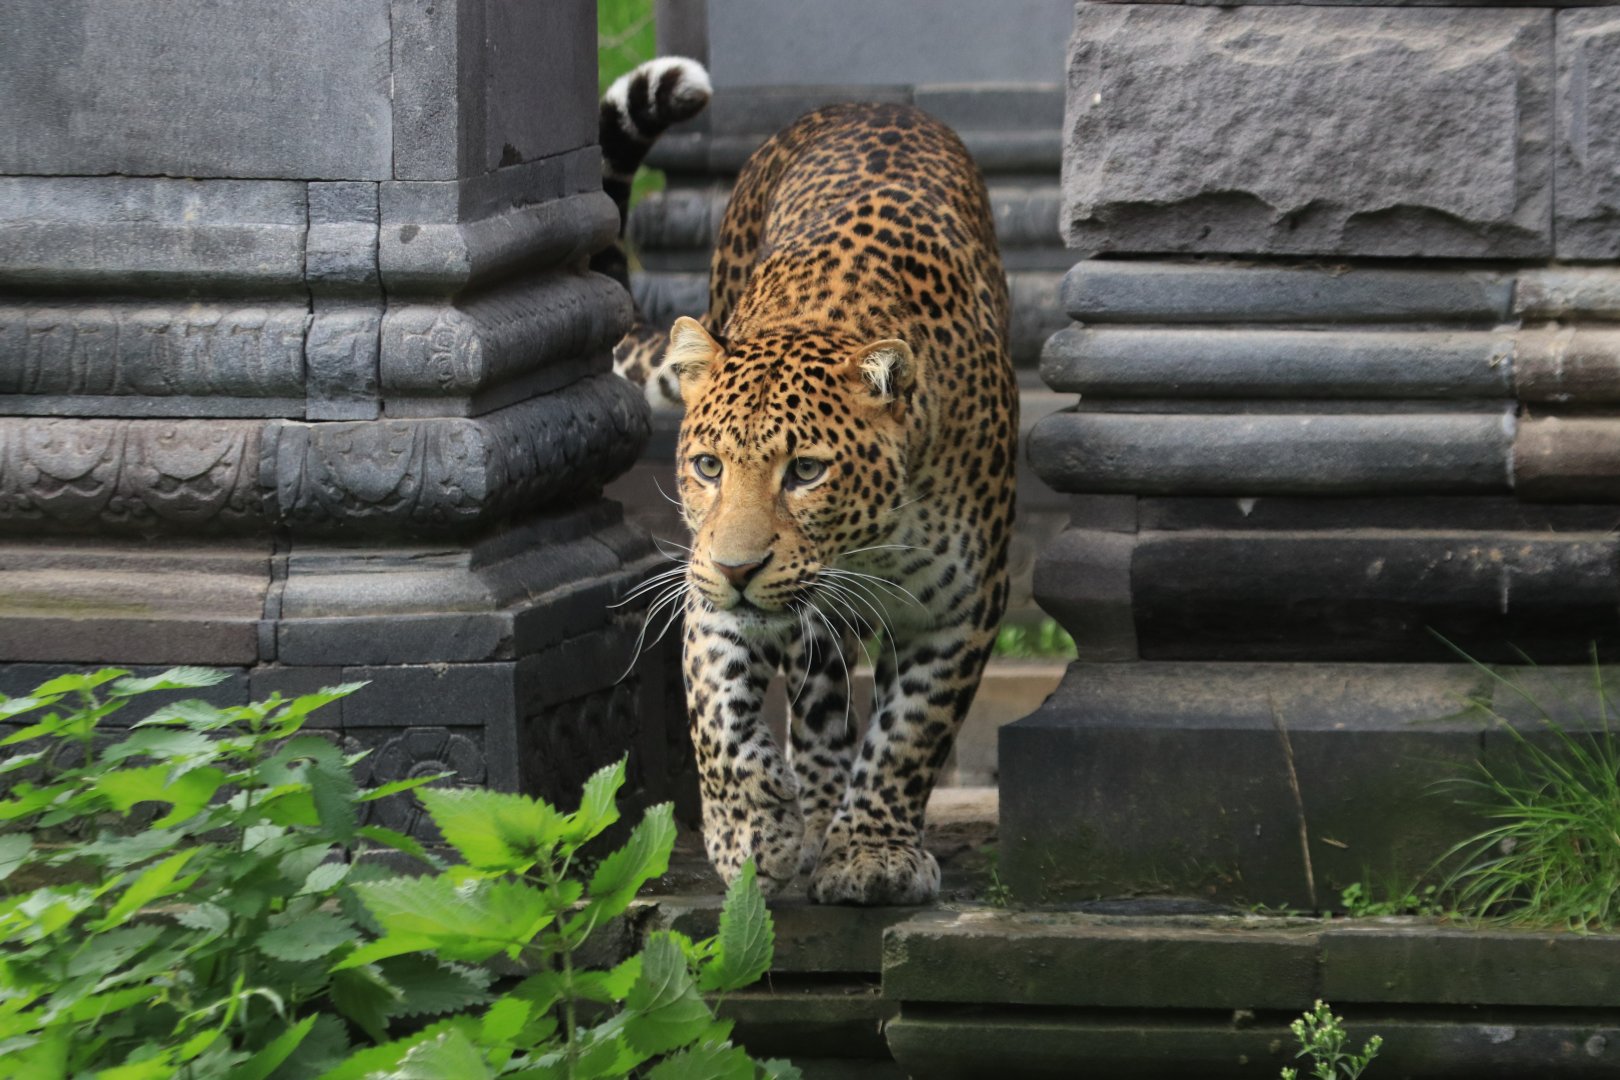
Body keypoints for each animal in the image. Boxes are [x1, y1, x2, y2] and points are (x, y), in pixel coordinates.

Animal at [660, 102, 1017, 905]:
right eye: (708, 466)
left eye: (806, 470)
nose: (738, 569)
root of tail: (873, 104)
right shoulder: (703, 588)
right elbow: (717, 718)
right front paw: (753, 835)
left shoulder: (964, 607)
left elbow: (910, 735)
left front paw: (871, 855)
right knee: (816, 694)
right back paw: (812, 810)